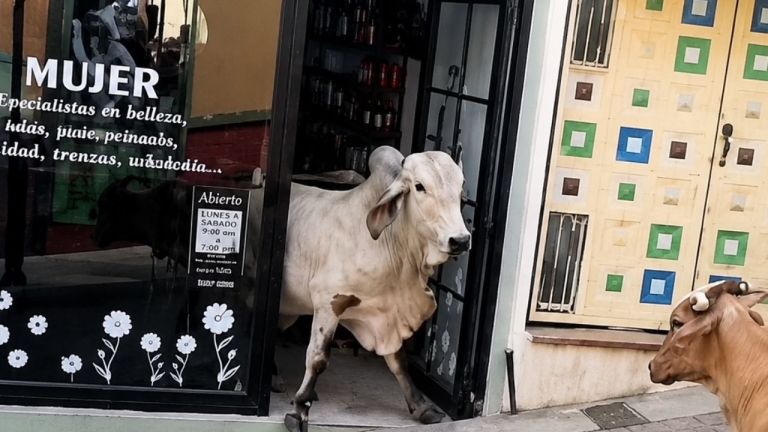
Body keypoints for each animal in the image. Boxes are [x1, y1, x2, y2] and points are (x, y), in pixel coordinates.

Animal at [279, 146, 471, 432]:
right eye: (419, 186)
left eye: (460, 189)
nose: (460, 240)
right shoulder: (329, 301)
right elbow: (317, 358)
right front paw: (300, 409)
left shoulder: (387, 312)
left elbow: (399, 361)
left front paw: (421, 407)